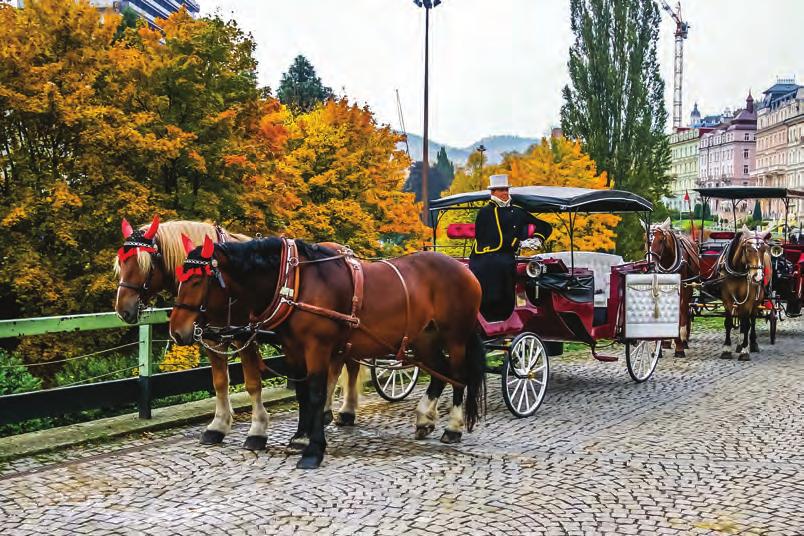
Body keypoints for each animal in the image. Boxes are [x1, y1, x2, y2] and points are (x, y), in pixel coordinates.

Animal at [113, 218, 362, 448]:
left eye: (142, 263)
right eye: (121, 261)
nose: (123, 309)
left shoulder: (245, 337)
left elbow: (252, 383)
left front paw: (258, 430)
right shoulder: (212, 337)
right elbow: (220, 382)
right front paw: (218, 426)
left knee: (346, 366)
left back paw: (343, 411)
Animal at [169, 237, 484, 466]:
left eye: (197, 279)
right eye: (179, 277)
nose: (177, 330)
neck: (295, 282)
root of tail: (464, 269)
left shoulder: (317, 347)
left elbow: (317, 393)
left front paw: (314, 449)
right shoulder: (293, 349)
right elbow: (302, 394)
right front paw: (300, 438)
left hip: (455, 338)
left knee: (459, 376)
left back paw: (453, 427)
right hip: (423, 339)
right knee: (440, 373)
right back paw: (424, 418)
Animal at [644, 218, 700, 356]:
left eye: (661, 240)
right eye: (645, 240)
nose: (650, 266)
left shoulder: (682, 287)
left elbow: (680, 311)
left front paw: (679, 345)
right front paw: (660, 344)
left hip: (689, 286)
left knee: (684, 309)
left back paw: (683, 340)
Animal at [720, 226, 768, 360]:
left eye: (764, 249)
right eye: (748, 249)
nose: (758, 277)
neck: (737, 270)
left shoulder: (749, 300)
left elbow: (747, 324)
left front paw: (745, 351)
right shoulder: (726, 299)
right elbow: (728, 323)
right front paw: (726, 349)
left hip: (756, 302)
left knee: (752, 320)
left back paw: (752, 343)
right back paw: (739, 344)